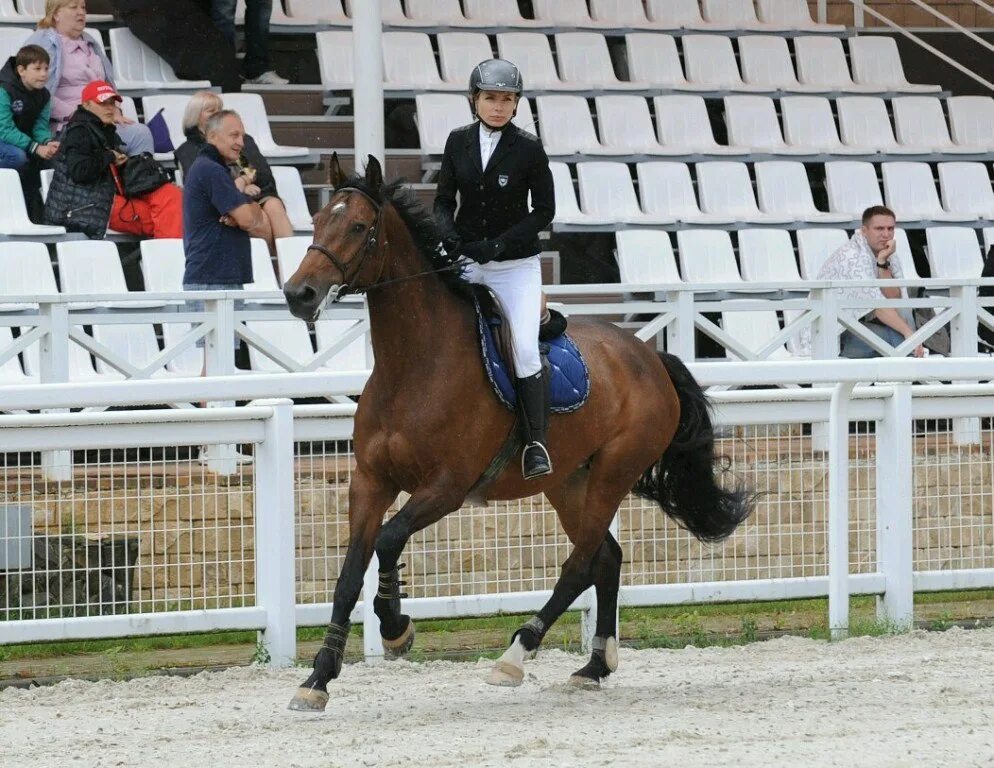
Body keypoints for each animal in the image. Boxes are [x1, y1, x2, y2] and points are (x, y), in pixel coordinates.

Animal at [280, 158, 752, 712]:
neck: (414, 364)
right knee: (605, 558)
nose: (298, 294)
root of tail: (650, 357)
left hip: (614, 472)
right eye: (316, 222)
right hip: (568, 481)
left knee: (580, 564)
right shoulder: (370, 481)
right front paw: (318, 678)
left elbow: (390, 539)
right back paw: (593, 667)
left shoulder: (447, 487)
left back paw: (515, 656)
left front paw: (396, 628)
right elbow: (349, 575)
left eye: (358, 227)